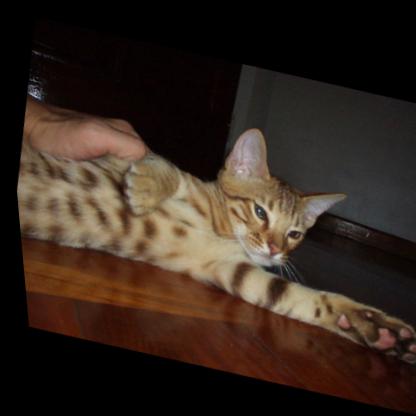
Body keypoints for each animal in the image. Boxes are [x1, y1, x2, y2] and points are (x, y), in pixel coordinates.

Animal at [18, 128, 416, 364]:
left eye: (294, 234)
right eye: (260, 212)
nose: (274, 249)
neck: (223, 232)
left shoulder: (231, 269)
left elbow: (301, 297)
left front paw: (378, 329)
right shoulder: (148, 164)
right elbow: (167, 166)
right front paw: (145, 187)